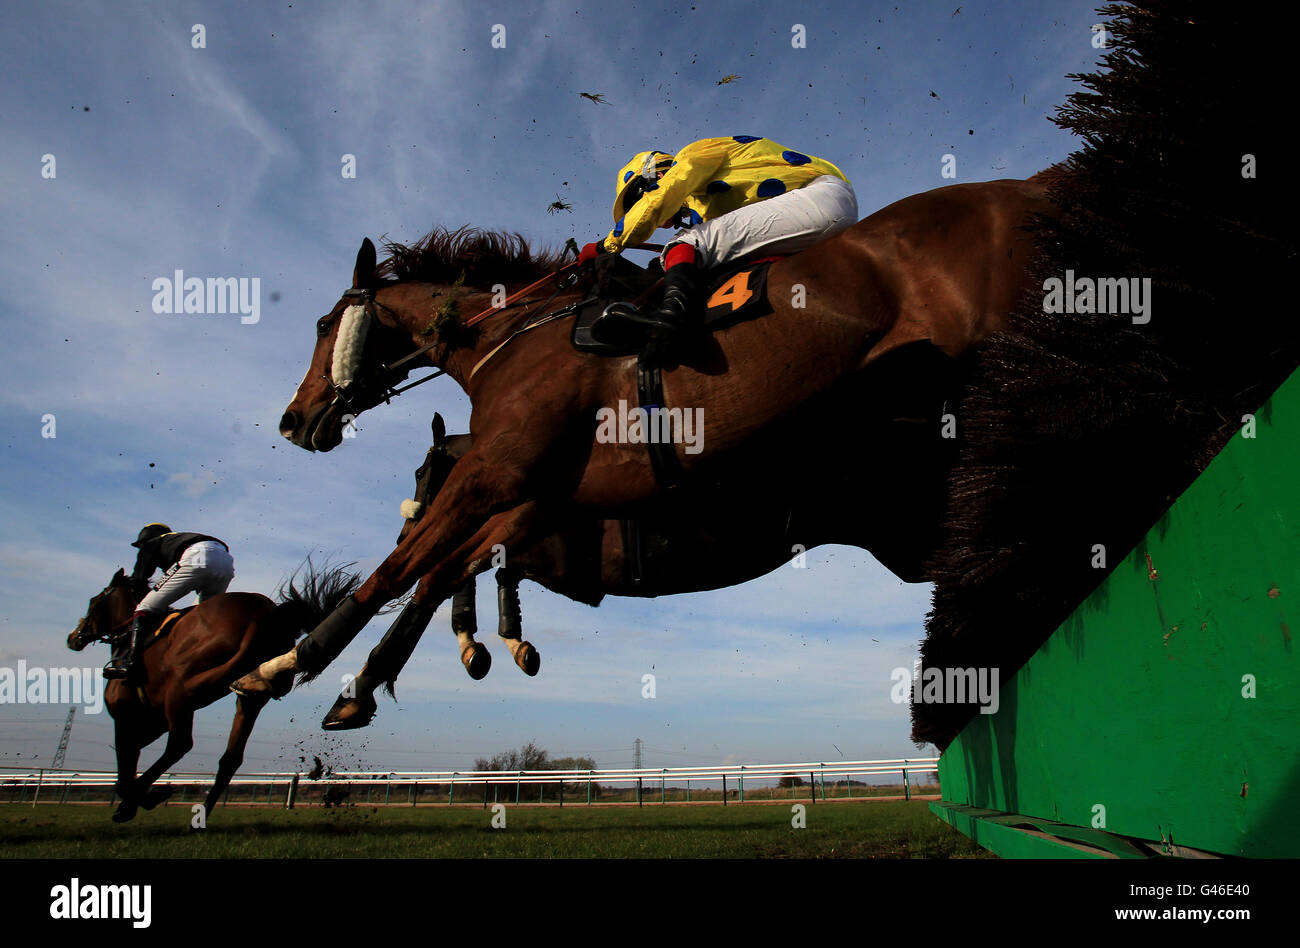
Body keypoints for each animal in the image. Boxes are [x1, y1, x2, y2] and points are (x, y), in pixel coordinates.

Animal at [69, 561, 358, 821]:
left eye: (94, 601)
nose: (74, 637)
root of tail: (263, 615)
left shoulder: (125, 715)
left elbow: (125, 765)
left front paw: (136, 800)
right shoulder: (152, 722)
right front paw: (142, 797)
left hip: (181, 688)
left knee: (180, 744)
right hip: (248, 698)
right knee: (230, 758)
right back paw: (200, 816)